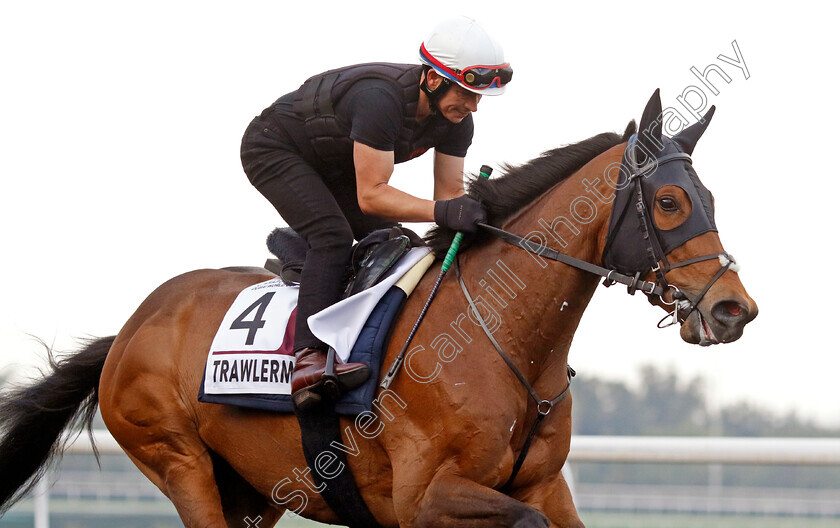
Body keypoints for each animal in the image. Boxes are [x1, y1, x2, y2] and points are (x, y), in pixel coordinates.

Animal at [0, 88, 756, 524]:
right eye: (670, 202)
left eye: (712, 199)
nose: (733, 309)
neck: (501, 336)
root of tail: (133, 326)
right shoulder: (426, 498)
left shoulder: (545, 486)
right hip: (180, 461)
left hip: (250, 489)